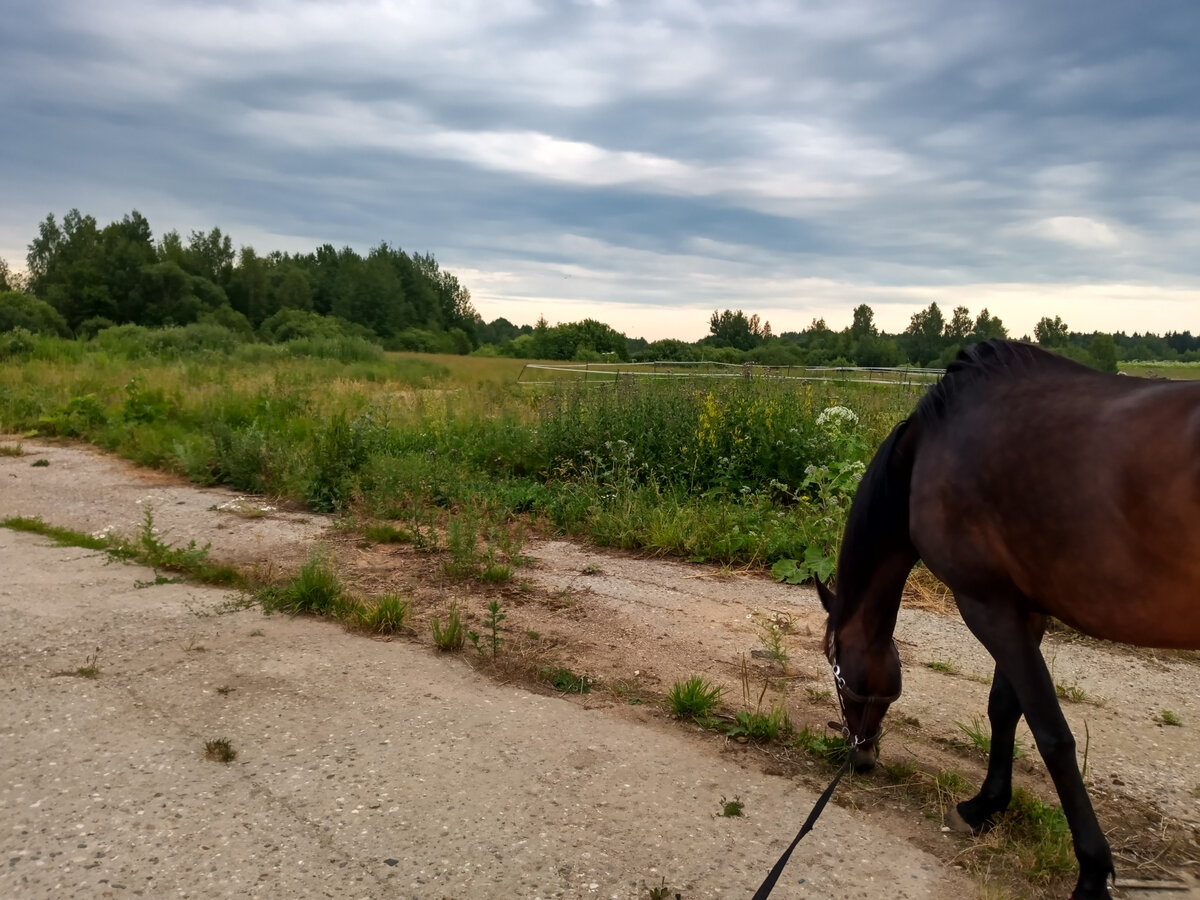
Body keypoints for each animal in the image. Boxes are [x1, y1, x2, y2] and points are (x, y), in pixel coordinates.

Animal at [816, 340, 1200, 900]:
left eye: (837, 670)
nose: (861, 757)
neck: (934, 443)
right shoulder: (1022, 607)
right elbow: (1004, 708)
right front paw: (985, 806)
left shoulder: (986, 604)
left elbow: (1052, 734)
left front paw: (1091, 872)